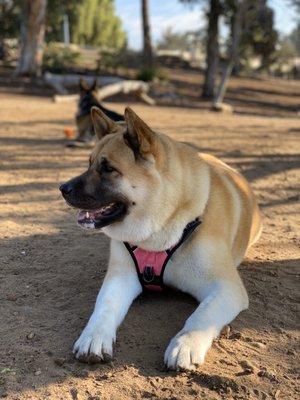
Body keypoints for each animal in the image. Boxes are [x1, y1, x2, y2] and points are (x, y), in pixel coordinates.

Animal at [59, 107, 262, 372]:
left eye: (108, 169)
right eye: (89, 163)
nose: (62, 188)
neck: (163, 227)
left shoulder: (227, 288)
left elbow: (202, 314)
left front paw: (185, 344)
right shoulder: (121, 277)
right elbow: (104, 306)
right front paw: (93, 336)